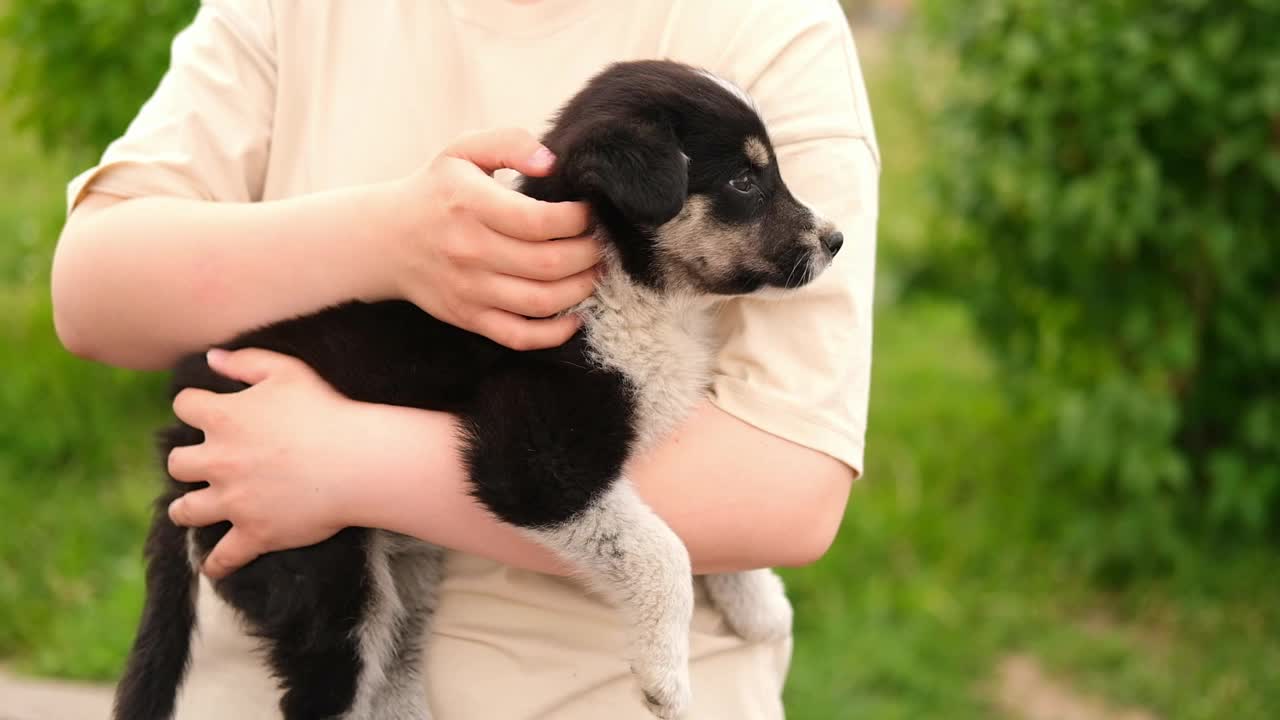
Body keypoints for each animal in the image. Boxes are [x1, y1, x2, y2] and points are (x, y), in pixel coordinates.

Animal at [115, 61, 844, 717]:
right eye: (745, 180)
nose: (837, 240)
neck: (626, 286)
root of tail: (178, 440)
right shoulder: (532, 462)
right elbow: (662, 548)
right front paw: (664, 676)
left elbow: (706, 534)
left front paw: (761, 605)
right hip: (319, 572)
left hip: (398, 574)